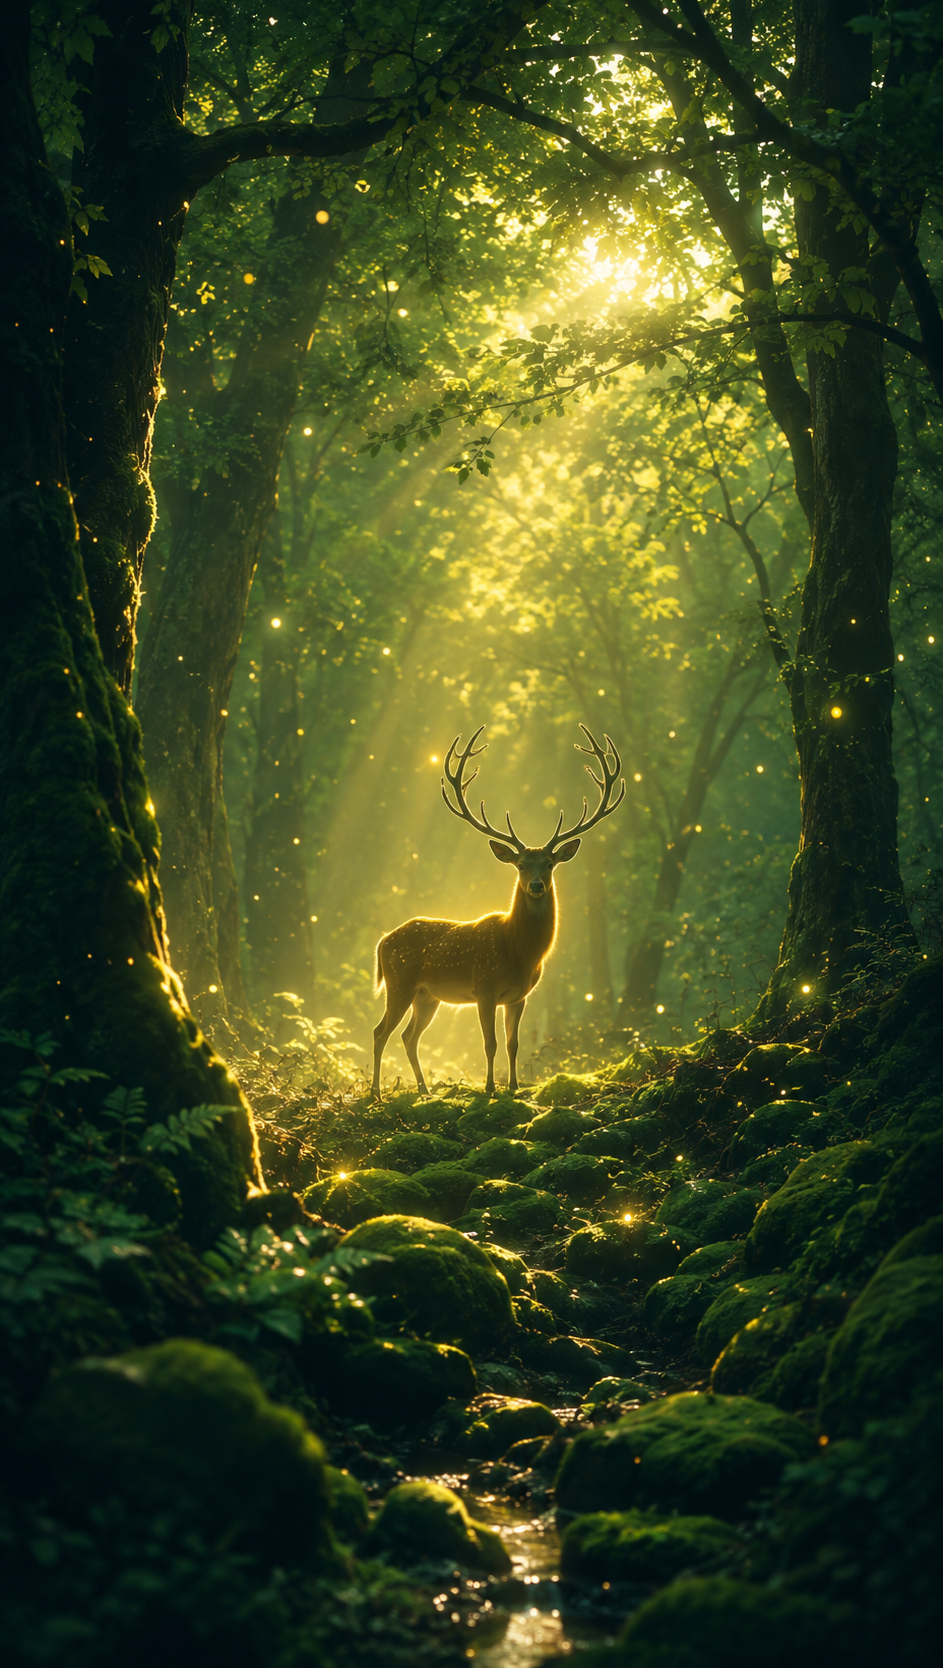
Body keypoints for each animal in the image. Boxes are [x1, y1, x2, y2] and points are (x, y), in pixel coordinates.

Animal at [371, 726, 625, 1098]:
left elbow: (513, 1044)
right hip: (399, 981)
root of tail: (382, 942)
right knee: (381, 1031)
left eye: (549, 863)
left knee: (408, 1036)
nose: (536, 885)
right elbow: (488, 1044)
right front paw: (490, 1088)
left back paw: (424, 1090)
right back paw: (376, 1092)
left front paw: (514, 1087)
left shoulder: (519, 997)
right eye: (521, 865)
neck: (518, 952)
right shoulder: (484, 987)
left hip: (427, 995)